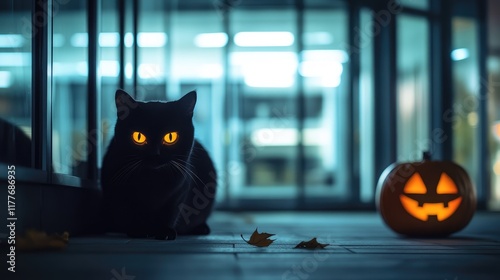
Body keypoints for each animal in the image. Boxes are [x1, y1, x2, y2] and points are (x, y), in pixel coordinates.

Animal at [101, 89, 217, 238]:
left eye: (170, 137)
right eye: (138, 137)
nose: (155, 153)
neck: (152, 180)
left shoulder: (179, 192)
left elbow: (170, 212)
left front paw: (164, 232)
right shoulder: (123, 194)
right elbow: (132, 211)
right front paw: (138, 230)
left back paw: (201, 228)